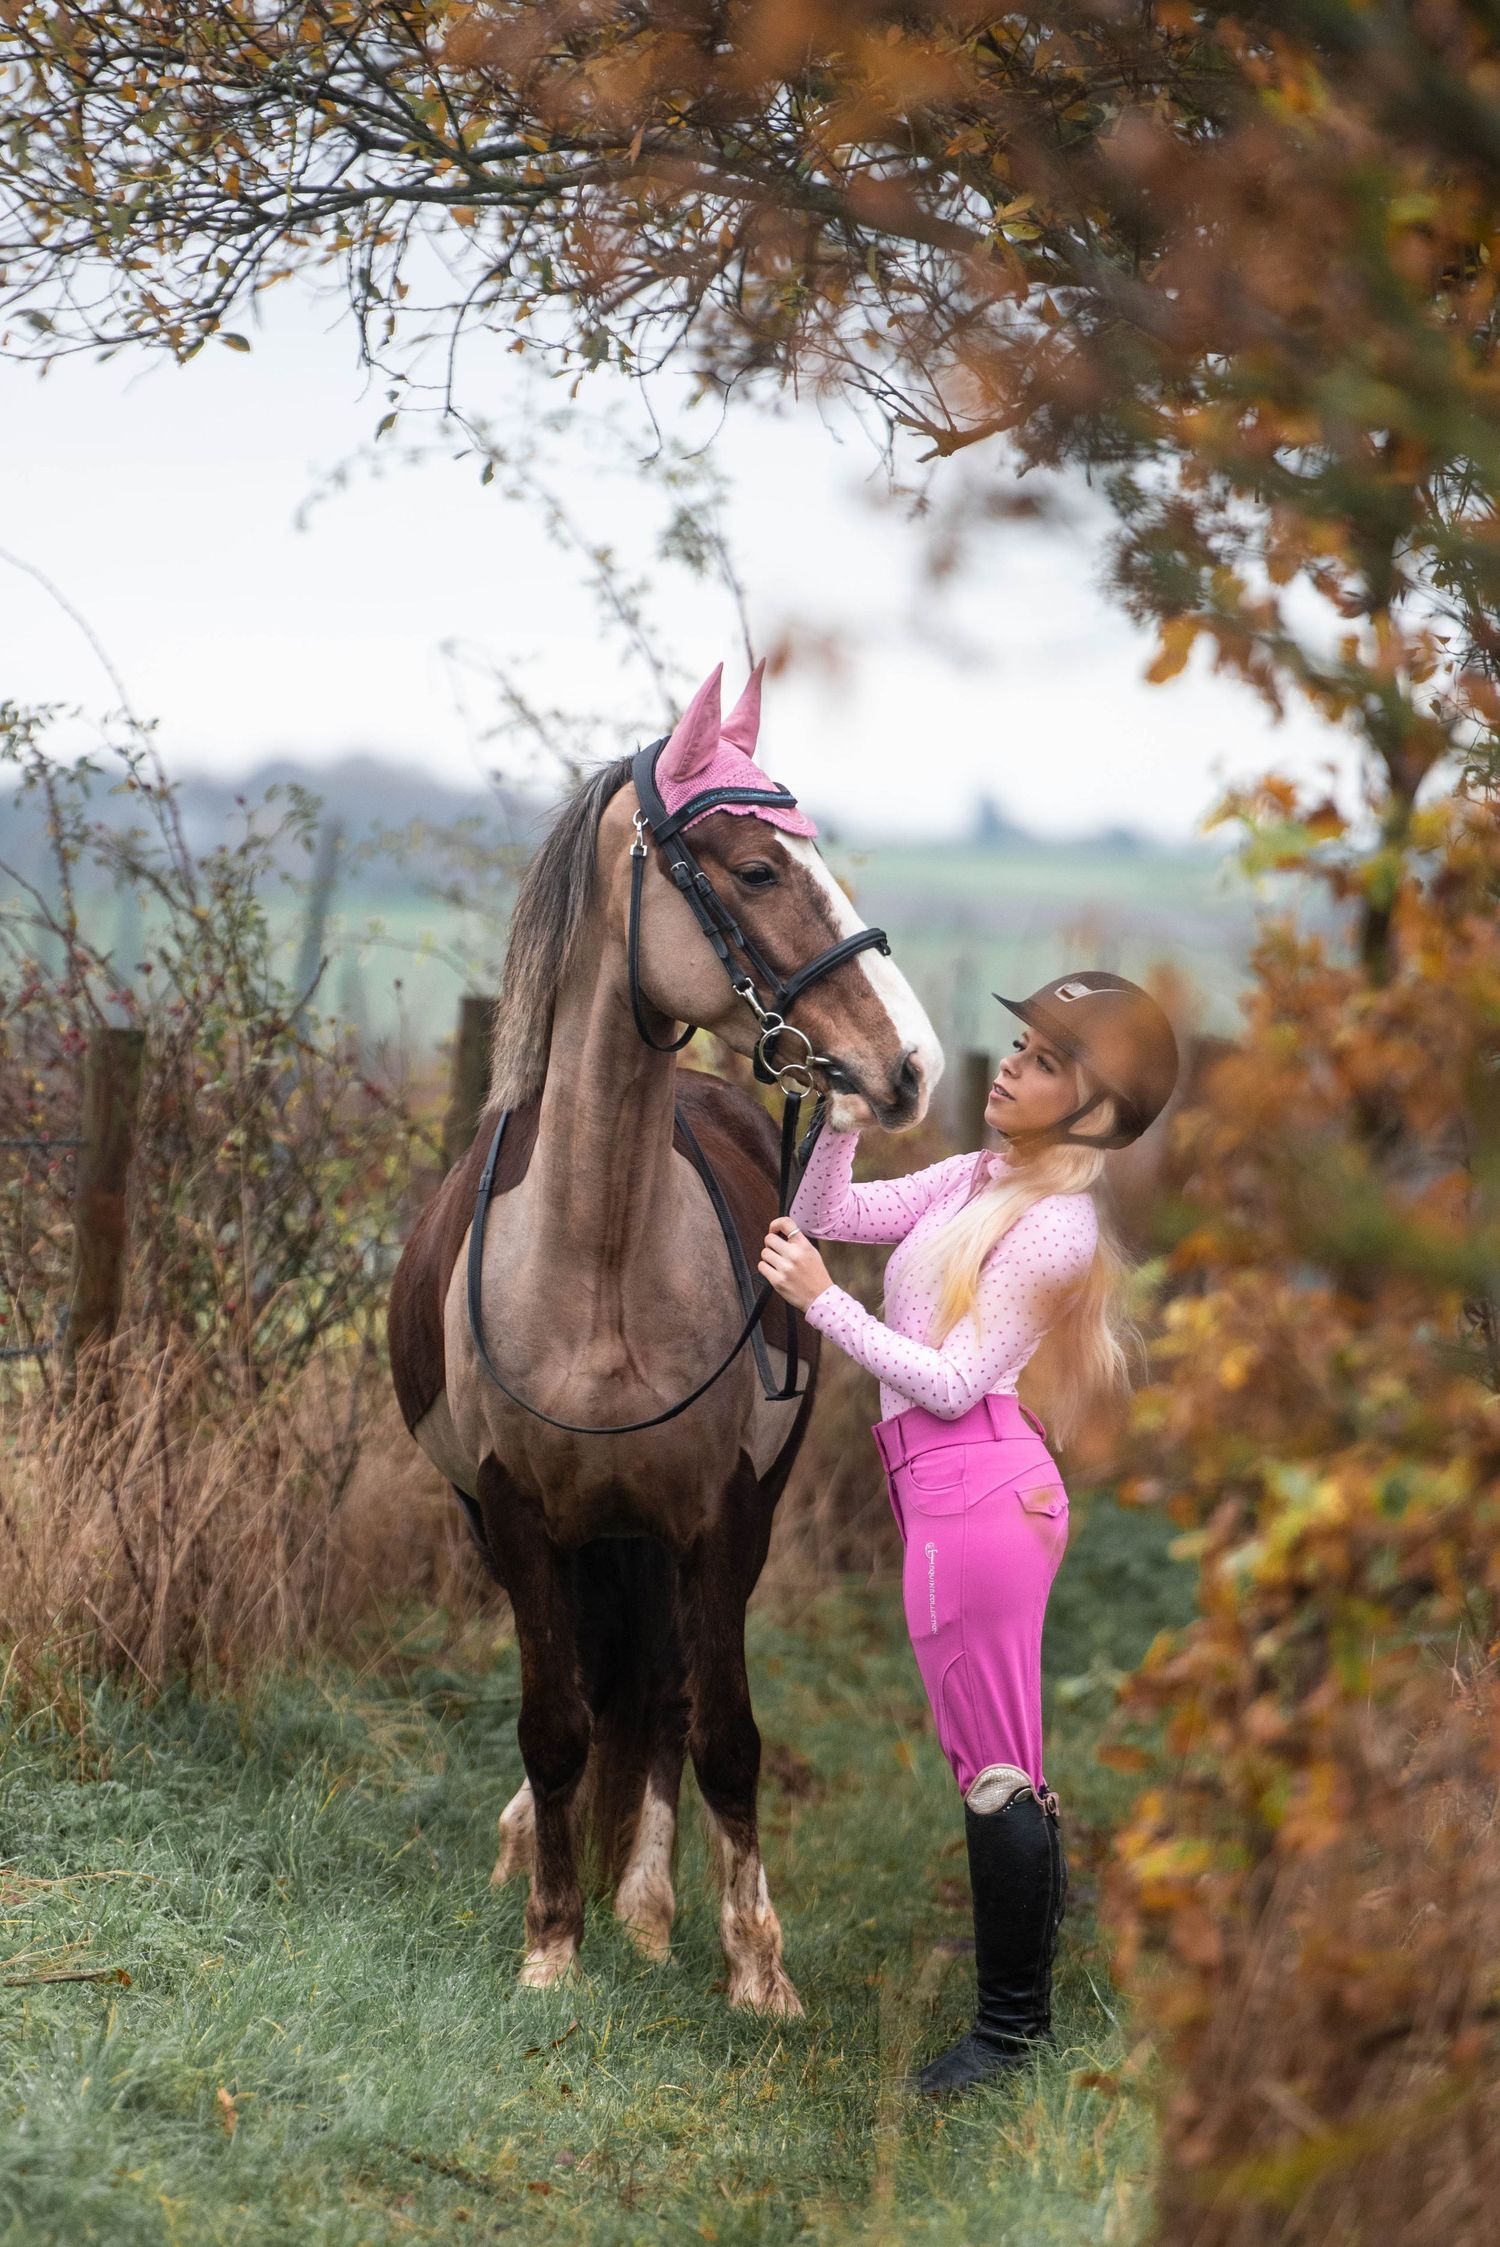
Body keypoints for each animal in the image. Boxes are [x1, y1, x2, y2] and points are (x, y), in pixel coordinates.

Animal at [388, 664, 941, 2014]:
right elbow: (553, 1724)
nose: (908, 1065)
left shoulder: (721, 1516)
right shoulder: (515, 1515)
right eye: (754, 869)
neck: (595, 1270)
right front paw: (550, 1946)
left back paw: (645, 1906)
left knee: (665, 1696)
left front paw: (756, 1970)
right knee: (602, 1694)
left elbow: (724, 1732)